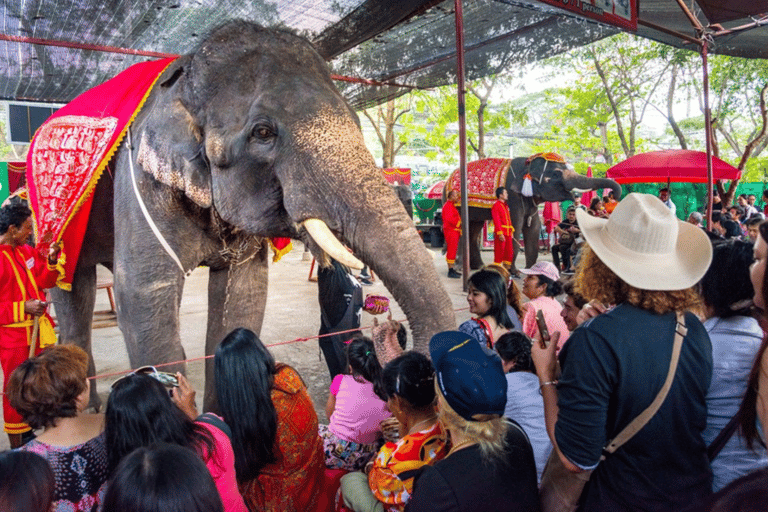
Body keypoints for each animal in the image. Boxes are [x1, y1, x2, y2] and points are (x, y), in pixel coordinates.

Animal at [49, 21, 456, 412]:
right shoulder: (141, 181)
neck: (185, 78)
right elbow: (142, 298)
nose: (391, 330)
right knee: (73, 291)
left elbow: (244, 296)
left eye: (357, 122)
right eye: (263, 132)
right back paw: (85, 408)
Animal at [448, 156, 620, 274]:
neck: (527, 164)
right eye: (556, 174)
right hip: (457, 203)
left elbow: (534, 227)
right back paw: (458, 268)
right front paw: (514, 272)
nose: (613, 196)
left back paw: (479, 266)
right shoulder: (513, 196)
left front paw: (532, 269)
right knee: (462, 229)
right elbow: (515, 226)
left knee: (474, 228)